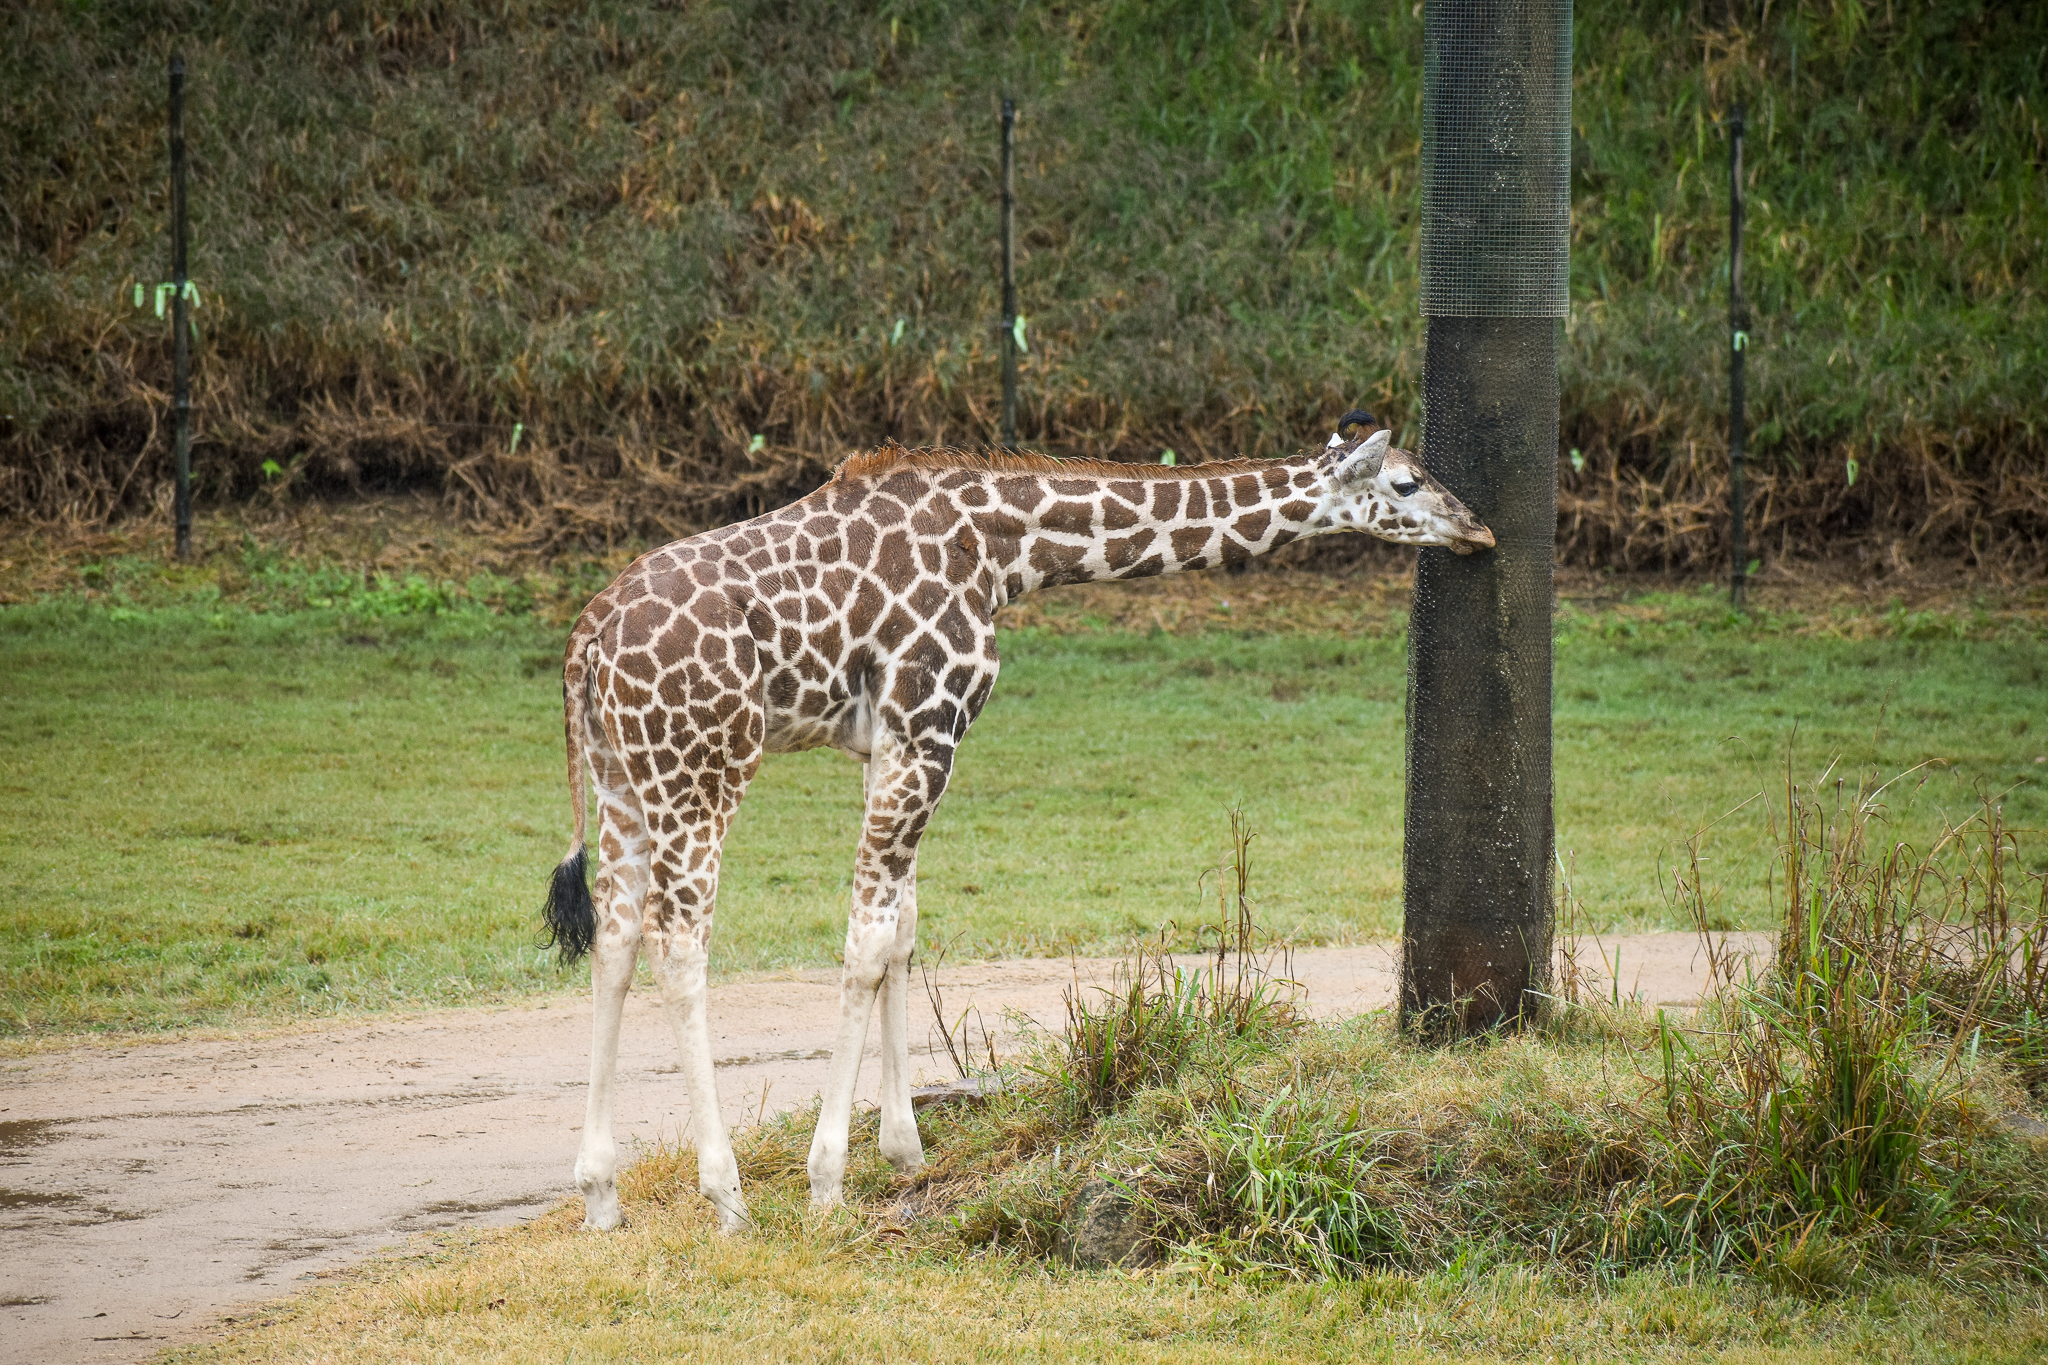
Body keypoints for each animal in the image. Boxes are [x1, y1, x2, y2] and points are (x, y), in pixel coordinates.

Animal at [544, 414, 1493, 1231]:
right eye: (1407, 481)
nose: (1478, 531)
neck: (1005, 551)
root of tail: (584, 644)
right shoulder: (929, 726)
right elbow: (865, 945)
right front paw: (826, 1179)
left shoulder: (887, 743)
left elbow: (901, 932)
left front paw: (905, 1152)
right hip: (701, 770)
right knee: (679, 944)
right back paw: (728, 1196)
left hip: (624, 778)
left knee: (616, 937)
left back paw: (600, 1194)